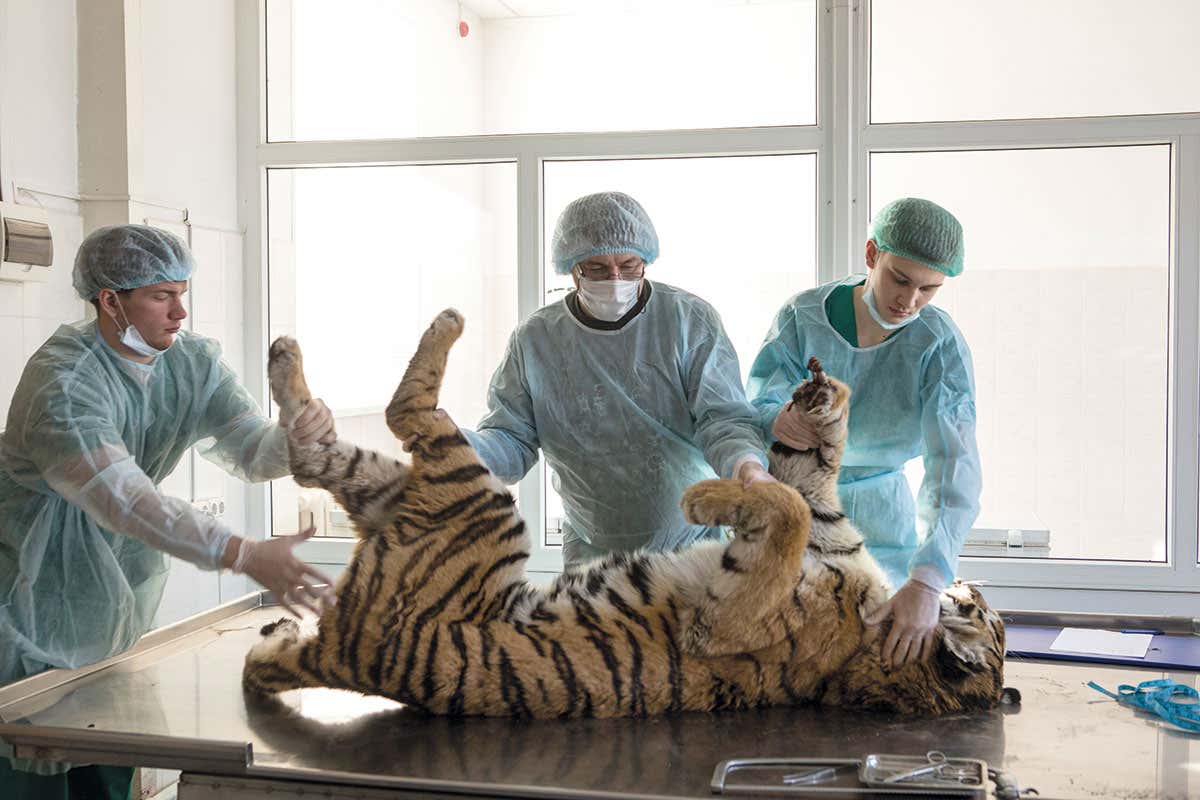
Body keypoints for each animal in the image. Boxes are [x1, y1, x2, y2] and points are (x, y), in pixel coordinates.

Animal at [243, 308, 1016, 718]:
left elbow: (790, 512)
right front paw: (818, 404)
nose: (970, 584)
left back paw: (434, 324)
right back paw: (288, 369)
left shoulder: (726, 621)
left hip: (471, 506)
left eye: (977, 611)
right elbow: (801, 484)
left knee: (402, 412)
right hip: (412, 494)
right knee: (313, 455)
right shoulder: (823, 517)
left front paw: (701, 497)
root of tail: (345, 644)